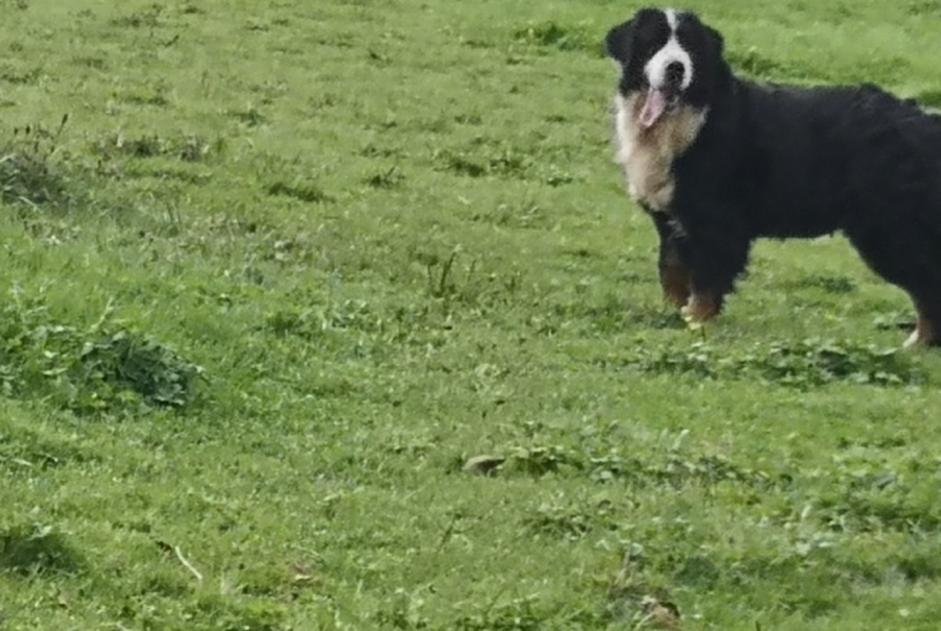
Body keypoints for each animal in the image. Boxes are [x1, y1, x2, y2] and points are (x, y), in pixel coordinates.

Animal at [604, 7, 940, 348]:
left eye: (690, 47)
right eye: (654, 42)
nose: (676, 68)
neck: (686, 123)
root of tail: (925, 121)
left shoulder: (716, 223)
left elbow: (706, 282)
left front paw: (695, 323)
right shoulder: (671, 221)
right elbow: (672, 273)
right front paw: (670, 317)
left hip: (890, 230)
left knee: (929, 285)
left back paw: (918, 344)